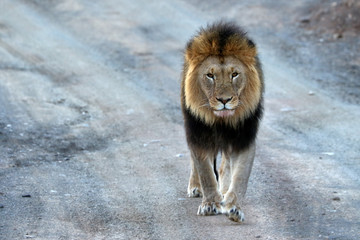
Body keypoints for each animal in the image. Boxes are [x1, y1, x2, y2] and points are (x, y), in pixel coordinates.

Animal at [181, 21, 262, 222]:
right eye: (210, 76)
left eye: (235, 74)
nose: (224, 100)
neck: (221, 122)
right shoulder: (198, 134)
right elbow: (205, 172)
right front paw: (210, 204)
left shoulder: (244, 137)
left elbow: (241, 176)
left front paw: (234, 208)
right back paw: (195, 187)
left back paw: (225, 191)